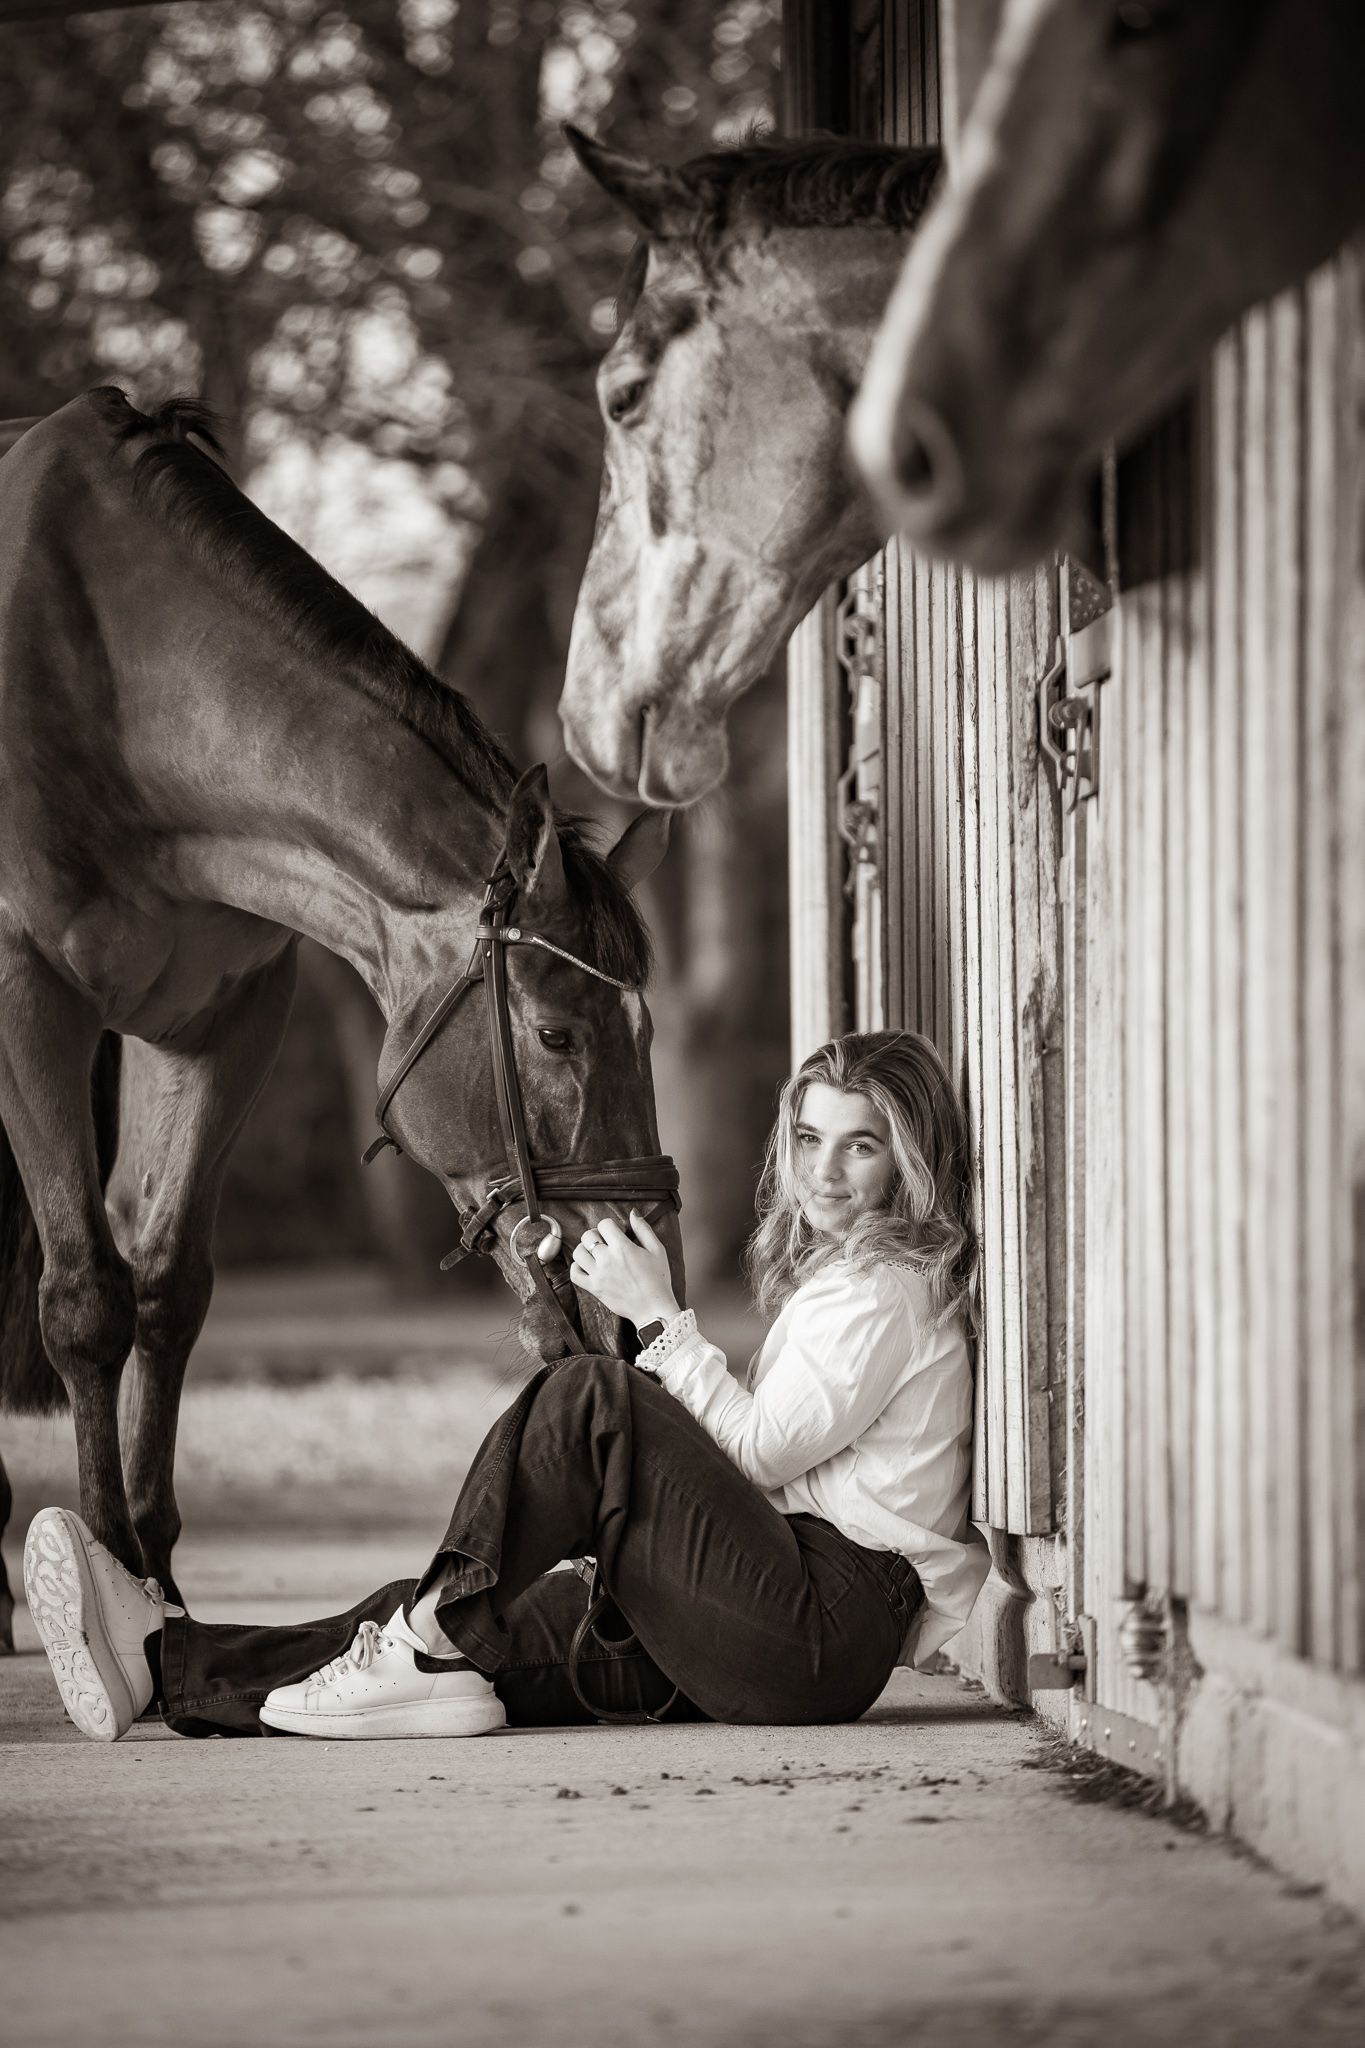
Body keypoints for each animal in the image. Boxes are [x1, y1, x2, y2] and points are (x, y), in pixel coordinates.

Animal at [0, 387, 679, 1649]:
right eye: (559, 1036)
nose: (627, 1328)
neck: (117, 685)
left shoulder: (224, 1021)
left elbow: (168, 1285)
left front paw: (156, 1581)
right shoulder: (28, 1004)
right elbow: (86, 1300)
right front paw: (104, 1577)